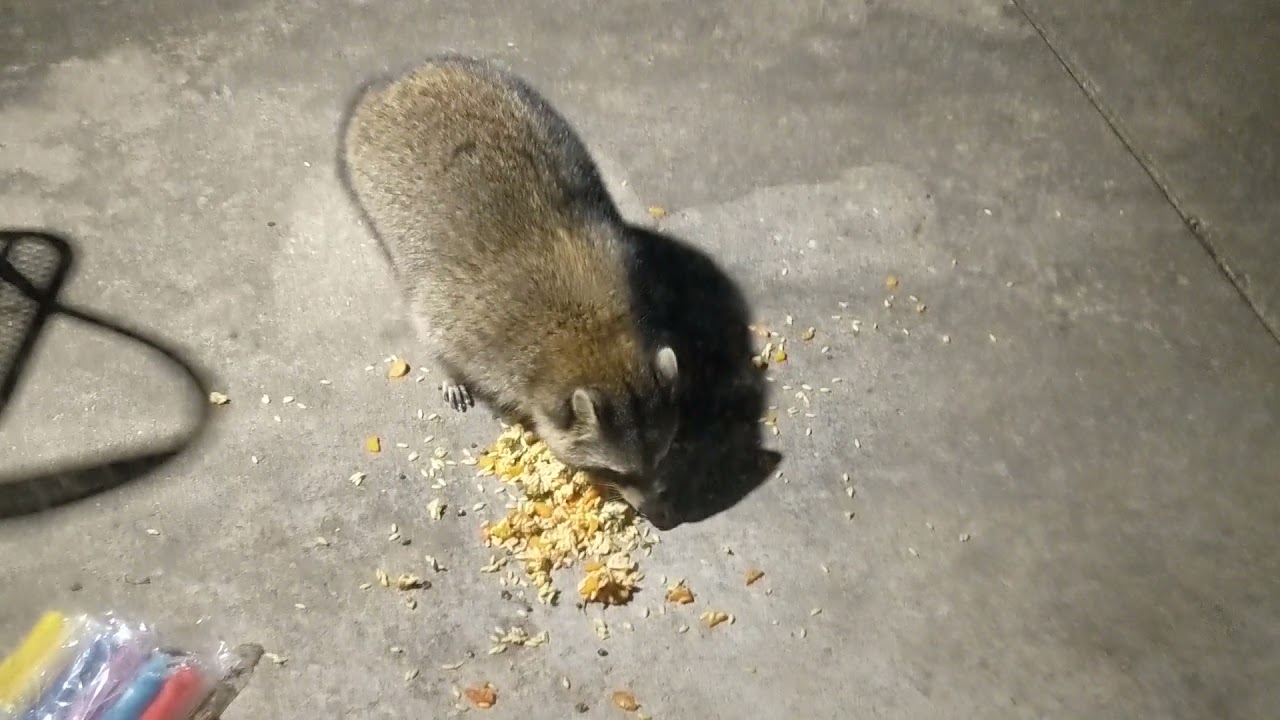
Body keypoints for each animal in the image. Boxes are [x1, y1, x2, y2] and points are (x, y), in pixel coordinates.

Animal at [337, 56, 680, 525]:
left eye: (661, 458)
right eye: (615, 471)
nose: (660, 515)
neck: (591, 340)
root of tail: (397, 81)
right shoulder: (467, 321)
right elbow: (434, 331)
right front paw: (451, 374)